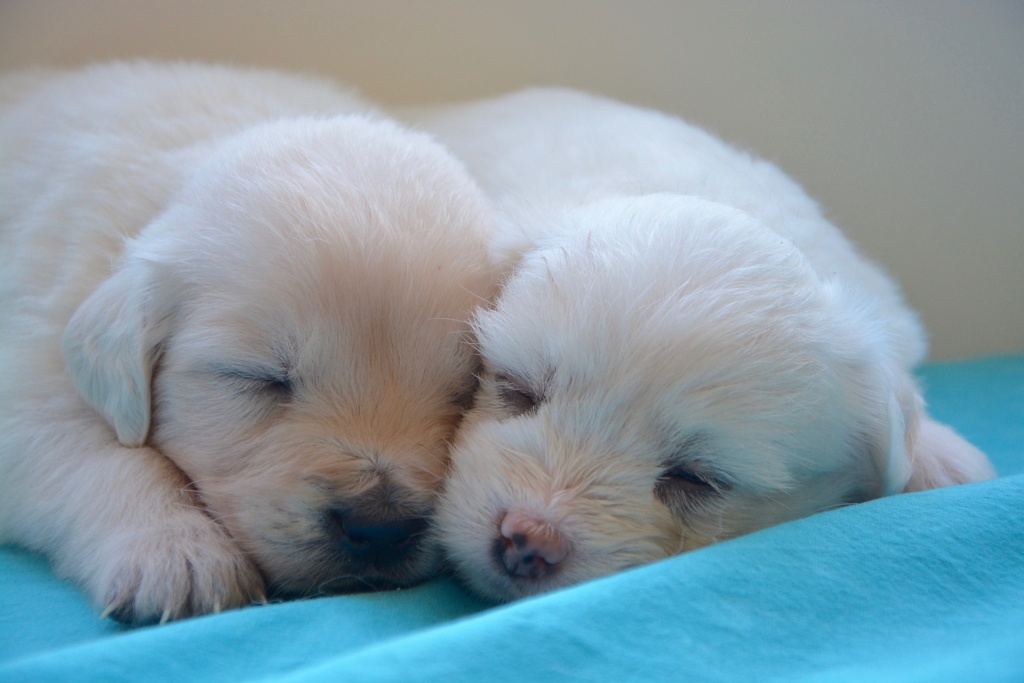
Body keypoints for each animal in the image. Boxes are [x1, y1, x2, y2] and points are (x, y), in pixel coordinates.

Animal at [0, 63, 497, 626]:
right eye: (259, 378)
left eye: (462, 391)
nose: (380, 526)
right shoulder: (34, 367)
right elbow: (105, 456)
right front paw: (180, 554)